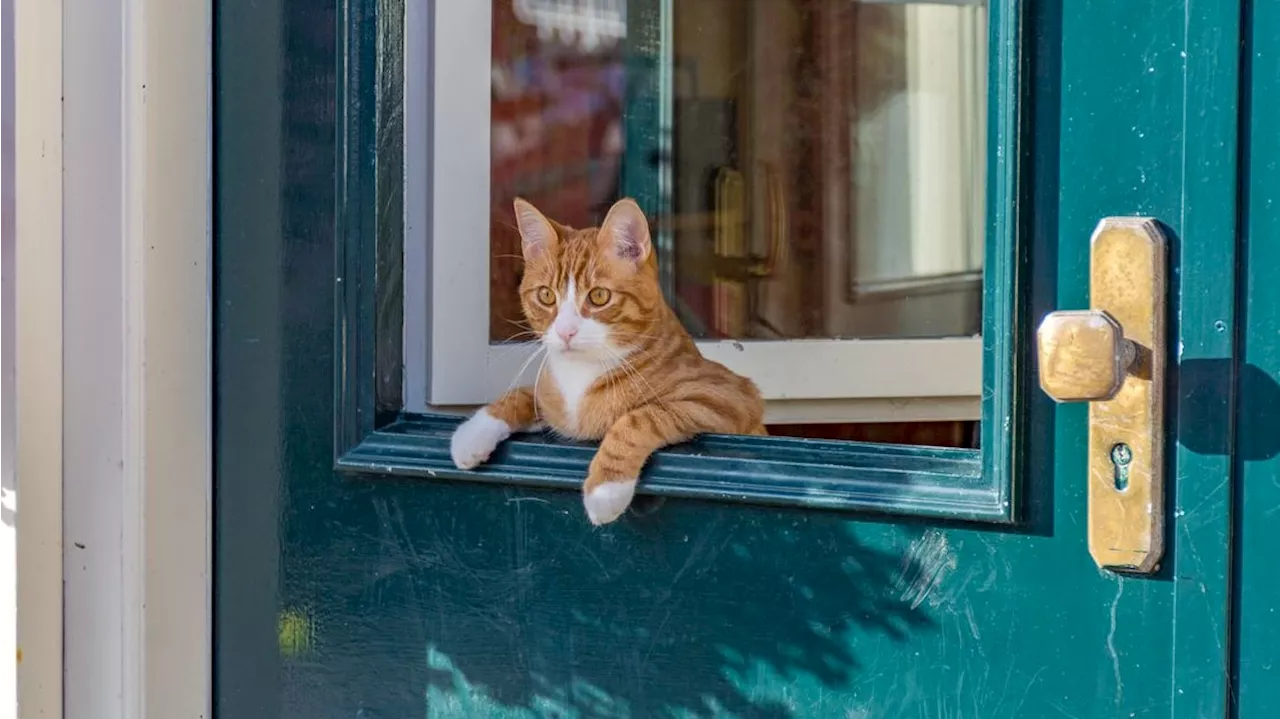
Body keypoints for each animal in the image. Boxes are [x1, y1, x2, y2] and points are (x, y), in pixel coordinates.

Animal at [450, 195, 762, 519]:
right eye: (546, 296)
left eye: (599, 296)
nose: (565, 331)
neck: (581, 374)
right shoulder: (551, 402)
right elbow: (522, 394)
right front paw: (473, 432)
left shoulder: (724, 396)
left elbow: (639, 418)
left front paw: (607, 488)